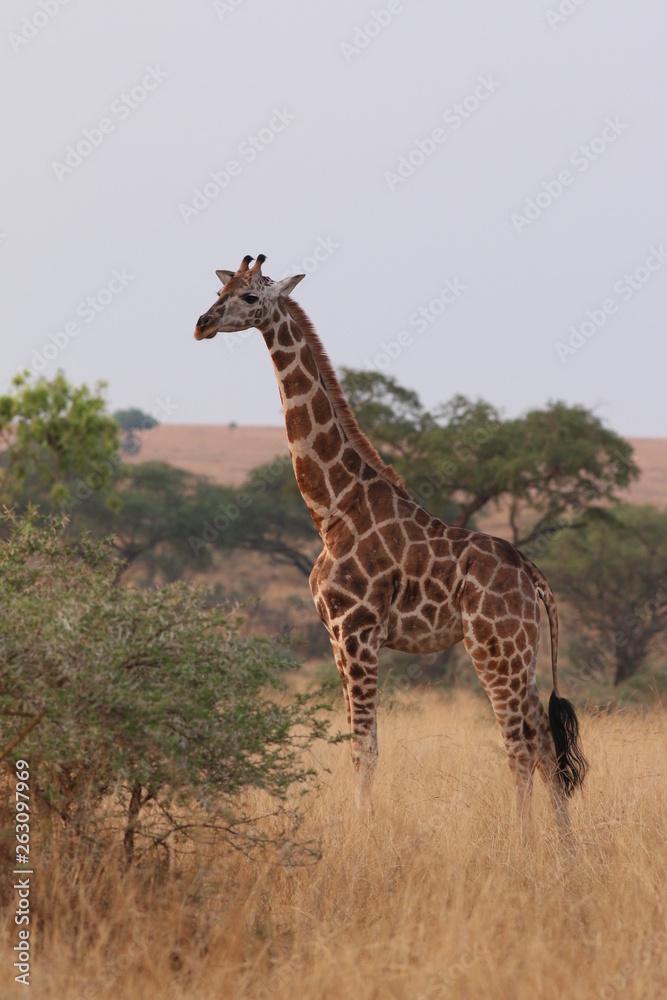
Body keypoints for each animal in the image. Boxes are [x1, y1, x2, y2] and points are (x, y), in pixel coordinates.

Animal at [194, 254, 588, 830]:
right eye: (221, 289)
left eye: (250, 297)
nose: (201, 323)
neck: (332, 508)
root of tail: (533, 574)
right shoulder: (336, 636)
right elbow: (356, 744)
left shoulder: (356, 631)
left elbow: (365, 747)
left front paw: (362, 831)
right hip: (523, 652)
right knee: (543, 741)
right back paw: (563, 843)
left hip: (494, 648)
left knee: (519, 744)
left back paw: (523, 839)